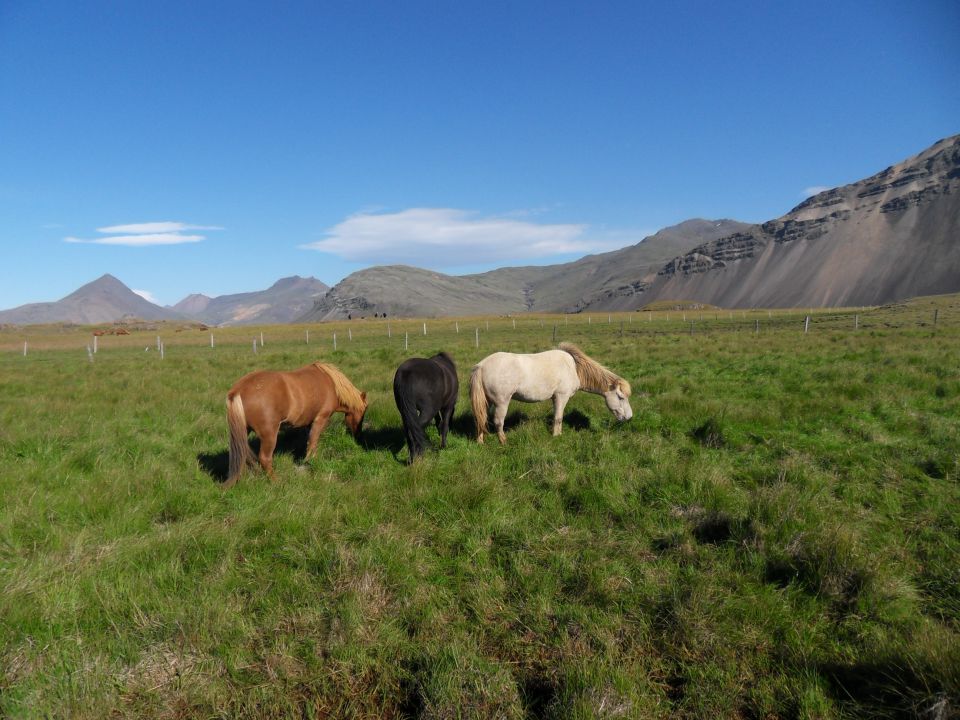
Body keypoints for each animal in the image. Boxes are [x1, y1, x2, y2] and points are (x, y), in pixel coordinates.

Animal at [225, 362, 368, 486]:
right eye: (364, 411)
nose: (359, 436)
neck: (332, 384)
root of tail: (238, 390)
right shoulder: (320, 419)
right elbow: (313, 442)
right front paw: (311, 461)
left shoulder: (309, 423)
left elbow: (308, 441)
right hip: (269, 435)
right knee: (265, 459)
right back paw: (275, 481)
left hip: (244, 431)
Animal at [470, 340, 632, 442]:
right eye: (620, 397)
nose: (629, 418)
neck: (573, 367)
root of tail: (481, 366)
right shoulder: (562, 397)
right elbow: (559, 417)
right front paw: (556, 436)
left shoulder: (555, 398)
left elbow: (556, 417)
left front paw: (557, 433)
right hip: (501, 402)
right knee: (498, 422)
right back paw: (504, 442)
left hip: (487, 402)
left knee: (481, 419)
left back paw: (480, 442)